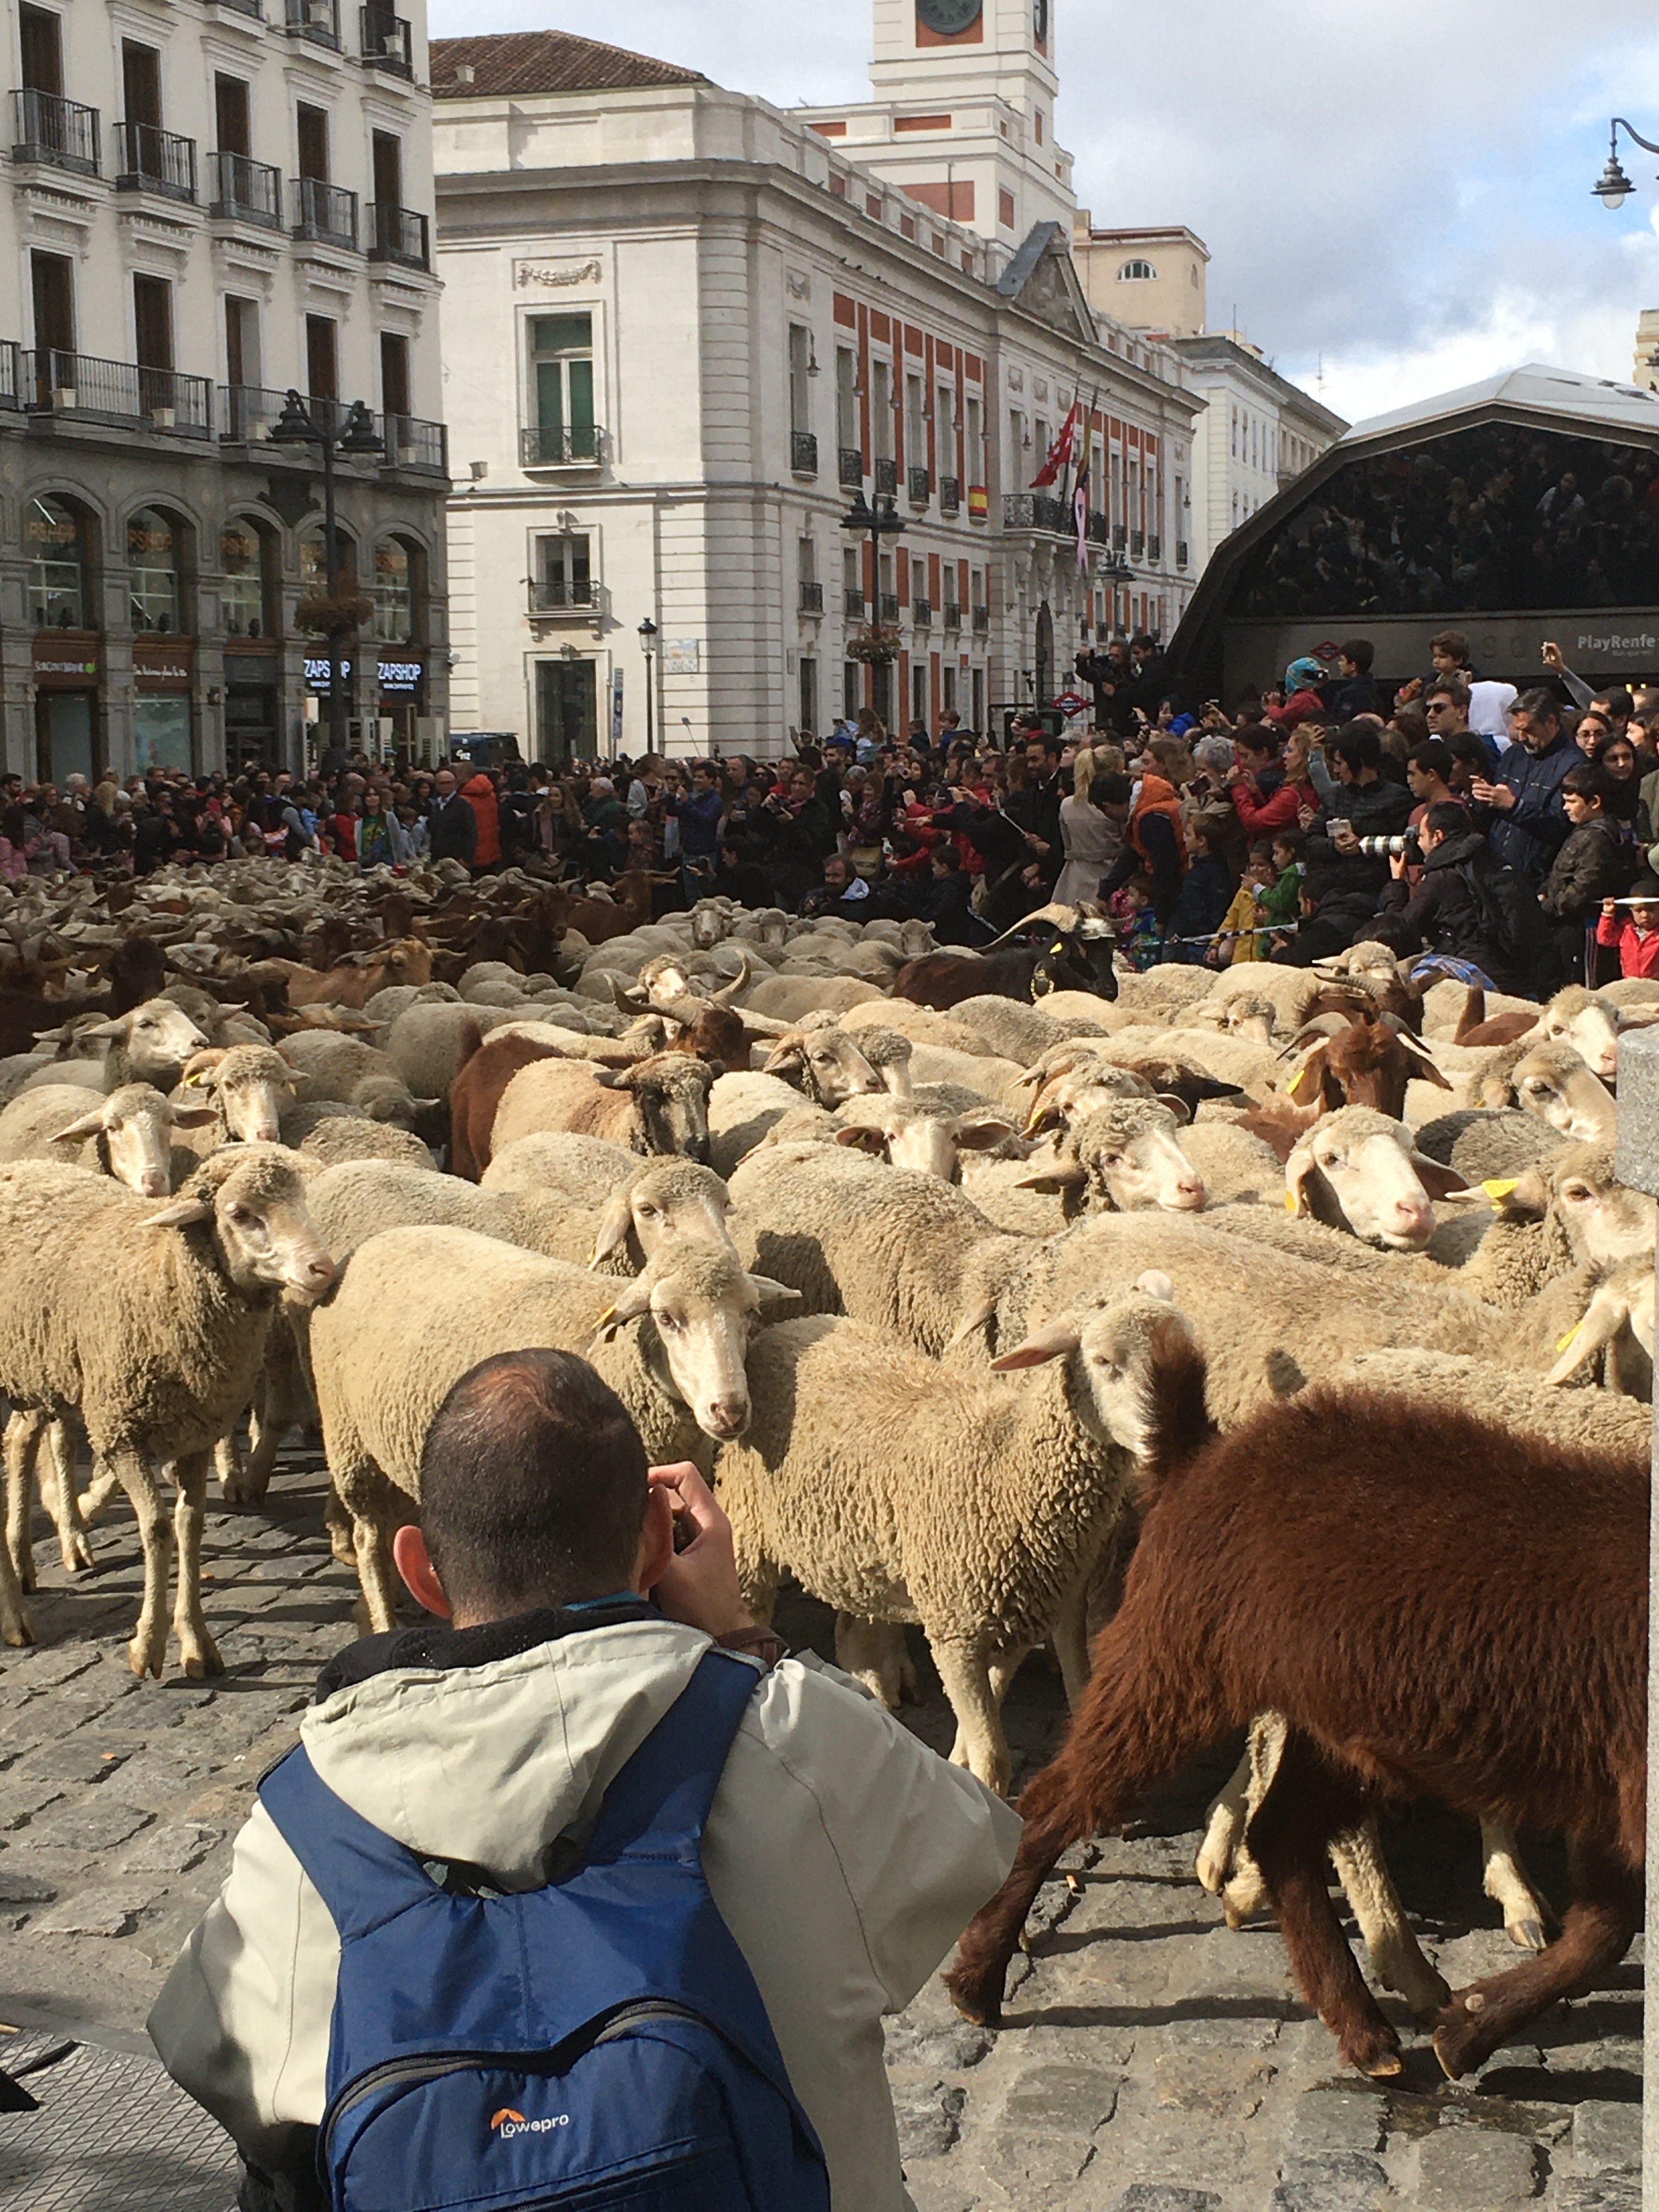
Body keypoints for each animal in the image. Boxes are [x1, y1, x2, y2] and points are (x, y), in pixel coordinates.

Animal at [0, 1147, 334, 1677]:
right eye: (240, 1213)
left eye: (302, 1200)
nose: (323, 1268)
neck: (165, 1277)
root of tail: (21, 1165)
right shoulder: (121, 1430)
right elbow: (156, 1527)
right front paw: (148, 1645)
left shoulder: (196, 1433)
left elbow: (189, 1525)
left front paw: (196, 1641)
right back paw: (17, 1613)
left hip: (34, 1368)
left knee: (19, 1440)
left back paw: (35, 1558)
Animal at [308, 1231, 799, 1629]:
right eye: (666, 1318)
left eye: (750, 1312)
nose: (730, 1411)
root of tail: (369, 1244)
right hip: (348, 1438)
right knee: (370, 1538)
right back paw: (381, 1619)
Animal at [716, 1280, 1186, 1796]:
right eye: (1103, 1361)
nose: (1170, 1435)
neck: (1005, 1464)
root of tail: (798, 1325)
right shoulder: (956, 1631)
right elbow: (993, 1758)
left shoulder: (1016, 1619)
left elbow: (979, 1729)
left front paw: (959, 1766)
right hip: (747, 1526)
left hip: (852, 1551)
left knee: (853, 1627)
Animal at [944, 1356, 1646, 2084]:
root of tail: (1203, 1451)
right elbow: (1604, 1932)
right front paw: (1469, 2028)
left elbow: (1602, 1931)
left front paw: (1468, 2029)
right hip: (1173, 1666)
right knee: (1055, 1800)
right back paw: (976, 1982)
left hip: (1343, 1727)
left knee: (1280, 1835)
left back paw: (1364, 2032)